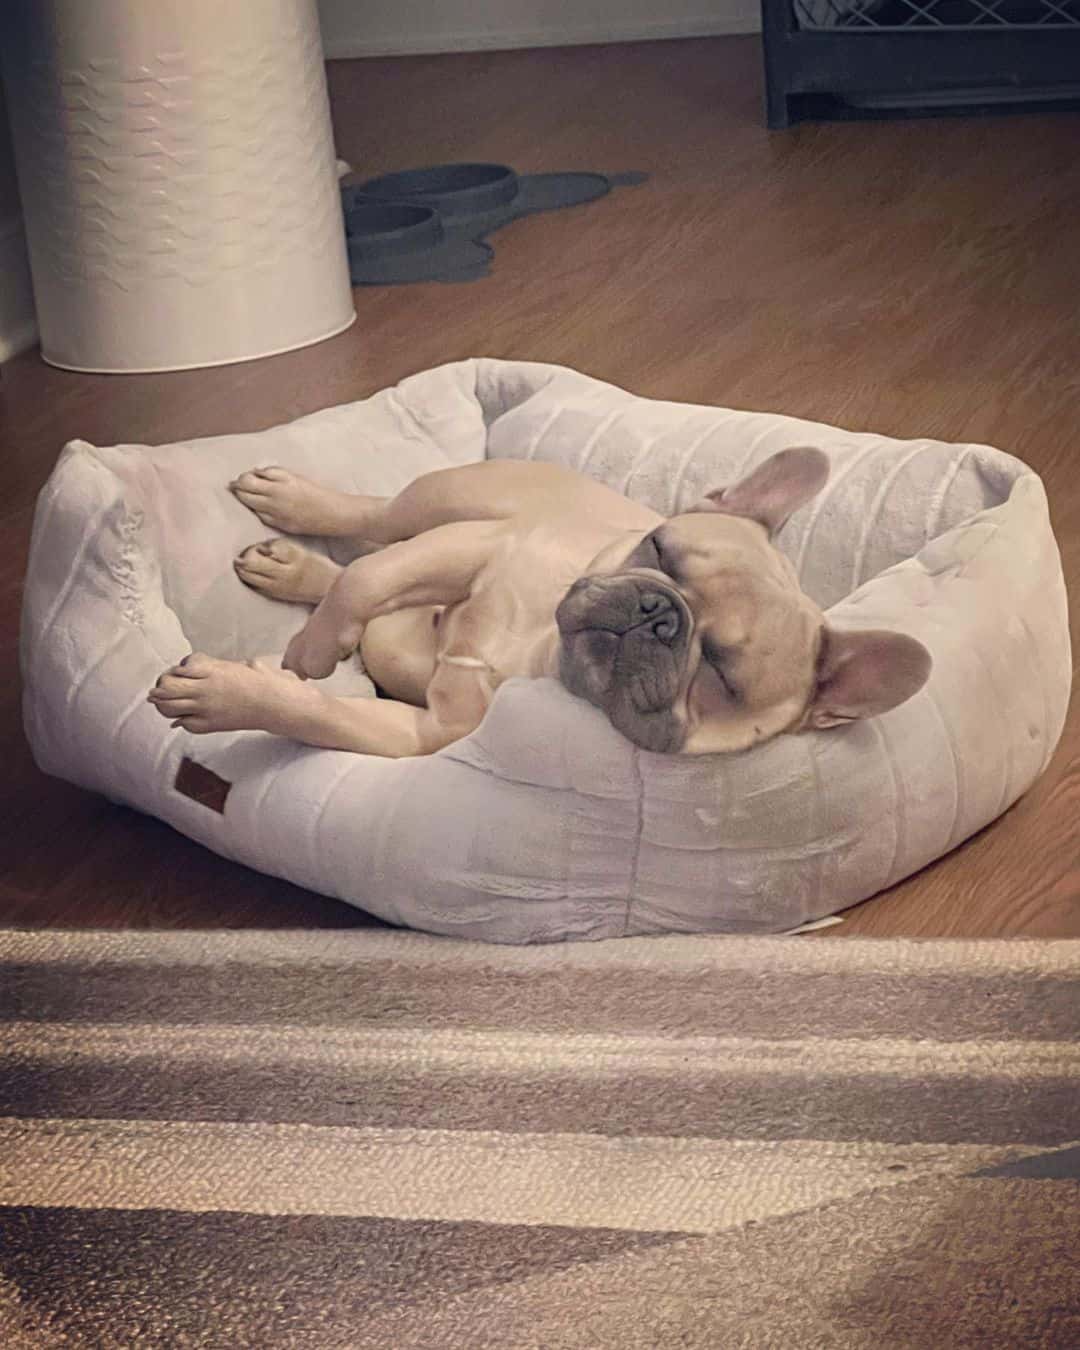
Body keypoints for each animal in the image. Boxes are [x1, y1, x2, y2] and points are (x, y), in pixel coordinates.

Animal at [147, 448, 934, 756]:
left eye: (720, 672)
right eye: (658, 551)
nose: (659, 614)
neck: (535, 656)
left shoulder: (421, 736)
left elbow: (319, 713)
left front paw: (228, 695)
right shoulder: (484, 543)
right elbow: (366, 579)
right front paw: (311, 650)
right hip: (450, 499)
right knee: (375, 528)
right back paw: (296, 521)